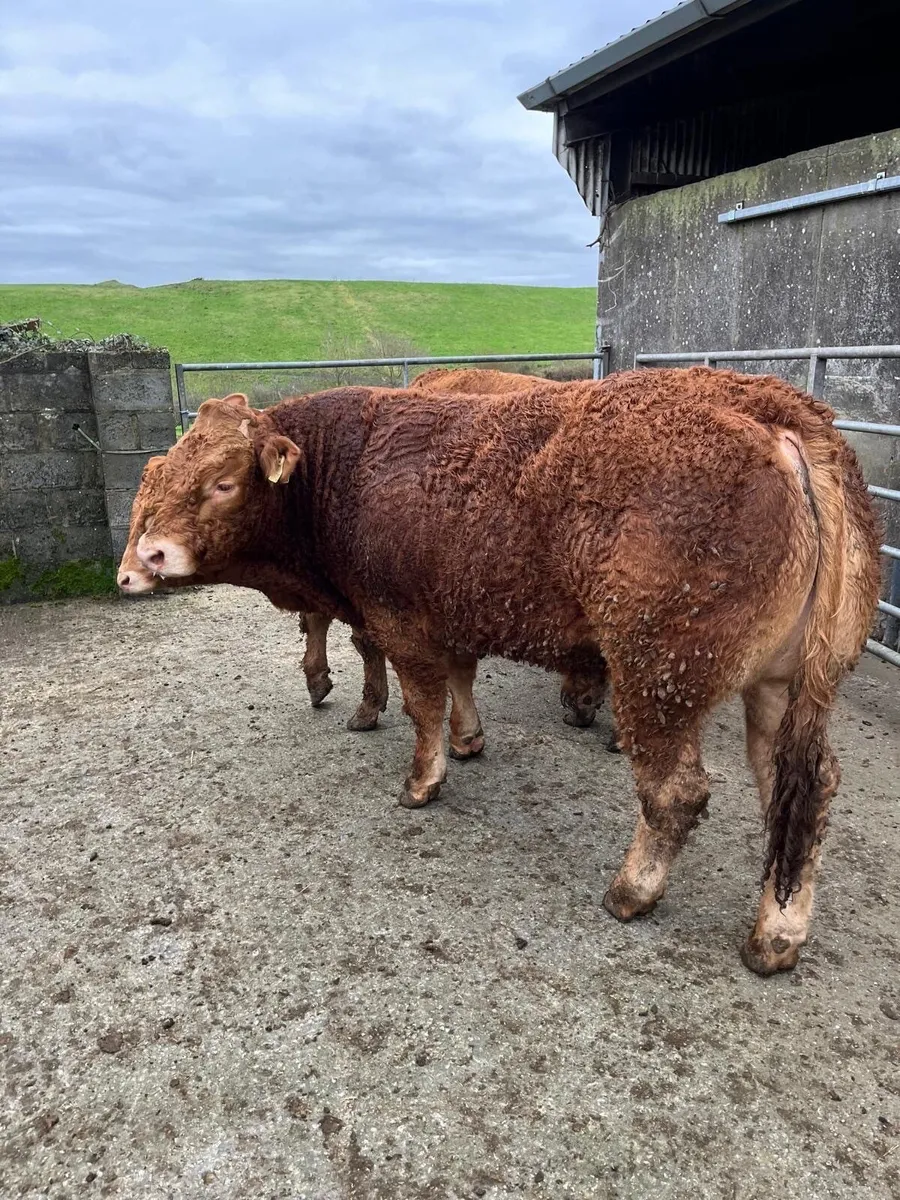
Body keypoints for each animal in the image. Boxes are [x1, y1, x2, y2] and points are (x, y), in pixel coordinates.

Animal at [119, 367, 880, 975]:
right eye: (153, 481)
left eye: (222, 482)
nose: (139, 564)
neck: (343, 470)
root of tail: (775, 408)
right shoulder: (449, 613)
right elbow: (460, 680)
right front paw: (468, 739)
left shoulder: (398, 621)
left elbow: (422, 704)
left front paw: (423, 780)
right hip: (783, 685)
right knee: (800, 793)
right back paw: (777, 934)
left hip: (658, 673)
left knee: (677, 793)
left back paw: (631, 892)